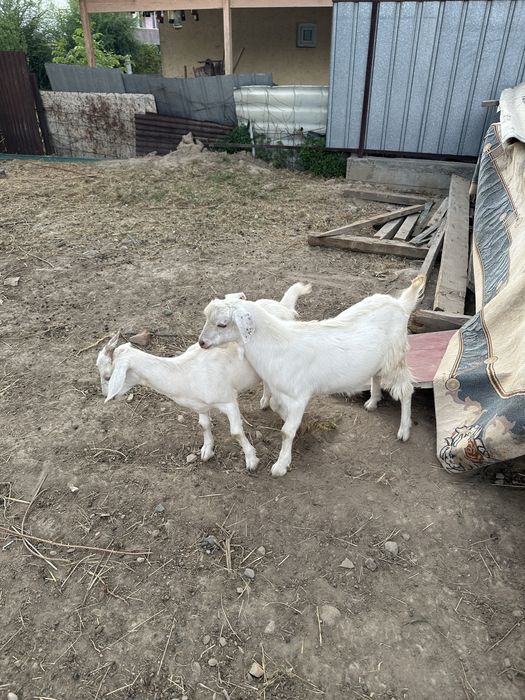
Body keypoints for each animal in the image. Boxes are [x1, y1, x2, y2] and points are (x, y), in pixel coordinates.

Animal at [96, 282, 311, 472]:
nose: (106, 396)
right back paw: (266, 400)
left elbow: (236, 432)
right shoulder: (199, 404)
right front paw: (207, 450)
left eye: (108, 376)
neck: (183, 371)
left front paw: (251, 460)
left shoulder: (228, 400)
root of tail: (283, 307)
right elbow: (204, 424)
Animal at [198, 276, 425, 476]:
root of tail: (400, 304)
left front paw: (281, 465)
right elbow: (276, 408)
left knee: (406, 390)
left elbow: (286, 432)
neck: (278, 345)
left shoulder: (299, 396)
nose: (201, 342)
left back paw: (404, 430)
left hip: (396, 357)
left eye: (222, 324)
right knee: (377, 376)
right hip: (380, 360)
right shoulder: (280, 391)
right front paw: (295, 424)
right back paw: (373, 401)